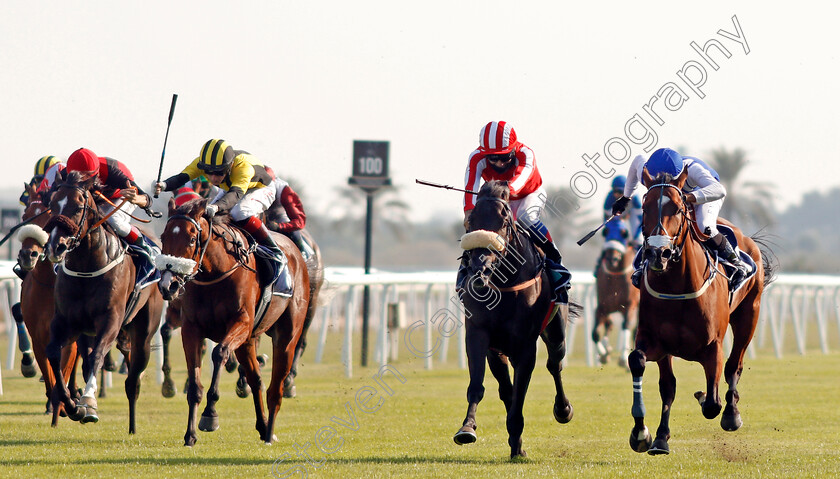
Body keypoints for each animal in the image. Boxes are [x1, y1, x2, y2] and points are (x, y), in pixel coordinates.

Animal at [43, 173, 165, 436]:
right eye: (53, 204)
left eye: (78, 207)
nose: (56, 246)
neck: (86, 267)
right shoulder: (66, 322)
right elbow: (54, 353)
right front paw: (72, 405)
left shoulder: (111, 320)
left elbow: (98, 356)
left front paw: (88, 403)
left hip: (144, 331)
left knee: (133, 380)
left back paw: (132, 426)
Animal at [452, 181, 576, 462]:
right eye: (470, 222)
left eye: (504, 221)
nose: (480, 272)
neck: (504, 285)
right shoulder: (478, 334)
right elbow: (479, 385)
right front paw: (467, 428)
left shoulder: (526, 346)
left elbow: (520, 394)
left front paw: (517, 438)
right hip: (497, 351)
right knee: (505, 389)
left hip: (556, 333)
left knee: (555, 365)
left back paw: (563, 410)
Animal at [592, 218, 640, 368]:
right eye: (606, 232)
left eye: (624, 233)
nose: (611, 259)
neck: (615, 276)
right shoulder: (602, 306)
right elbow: (595, 333)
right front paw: (603, 355)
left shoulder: (630, 305)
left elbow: (626, 326)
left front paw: (623, 359)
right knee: (609, 325)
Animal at [632, 169, 776, 458]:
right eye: (644, 207)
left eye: (677, 208)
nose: (657, 253)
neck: (678, 285)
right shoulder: (657, 343)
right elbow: (646, 369)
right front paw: (647, 435)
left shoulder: (712, 347)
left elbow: (712, 403)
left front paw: (709, 400)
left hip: (749, 316)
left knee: (734, 366)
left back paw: (731, 413)